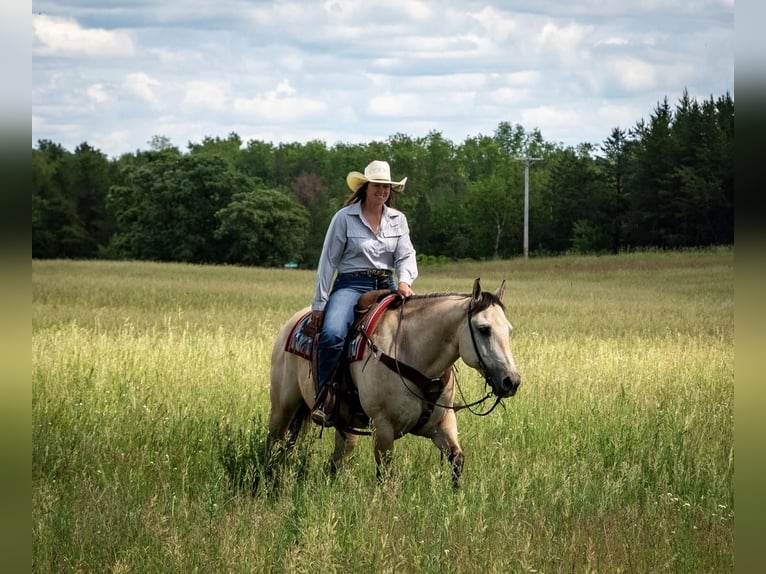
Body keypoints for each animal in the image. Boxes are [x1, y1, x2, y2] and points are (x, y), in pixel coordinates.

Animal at [268, 276, 524, 488]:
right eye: (484, 329)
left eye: (509, 330)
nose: (511, 381)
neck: (411, 352)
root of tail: (293, 322)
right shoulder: (383, 427)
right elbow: (385, 474)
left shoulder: (441, 423)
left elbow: (457, 459)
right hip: (282, 408)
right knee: (274, 444)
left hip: (344, 423)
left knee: (338, 458)